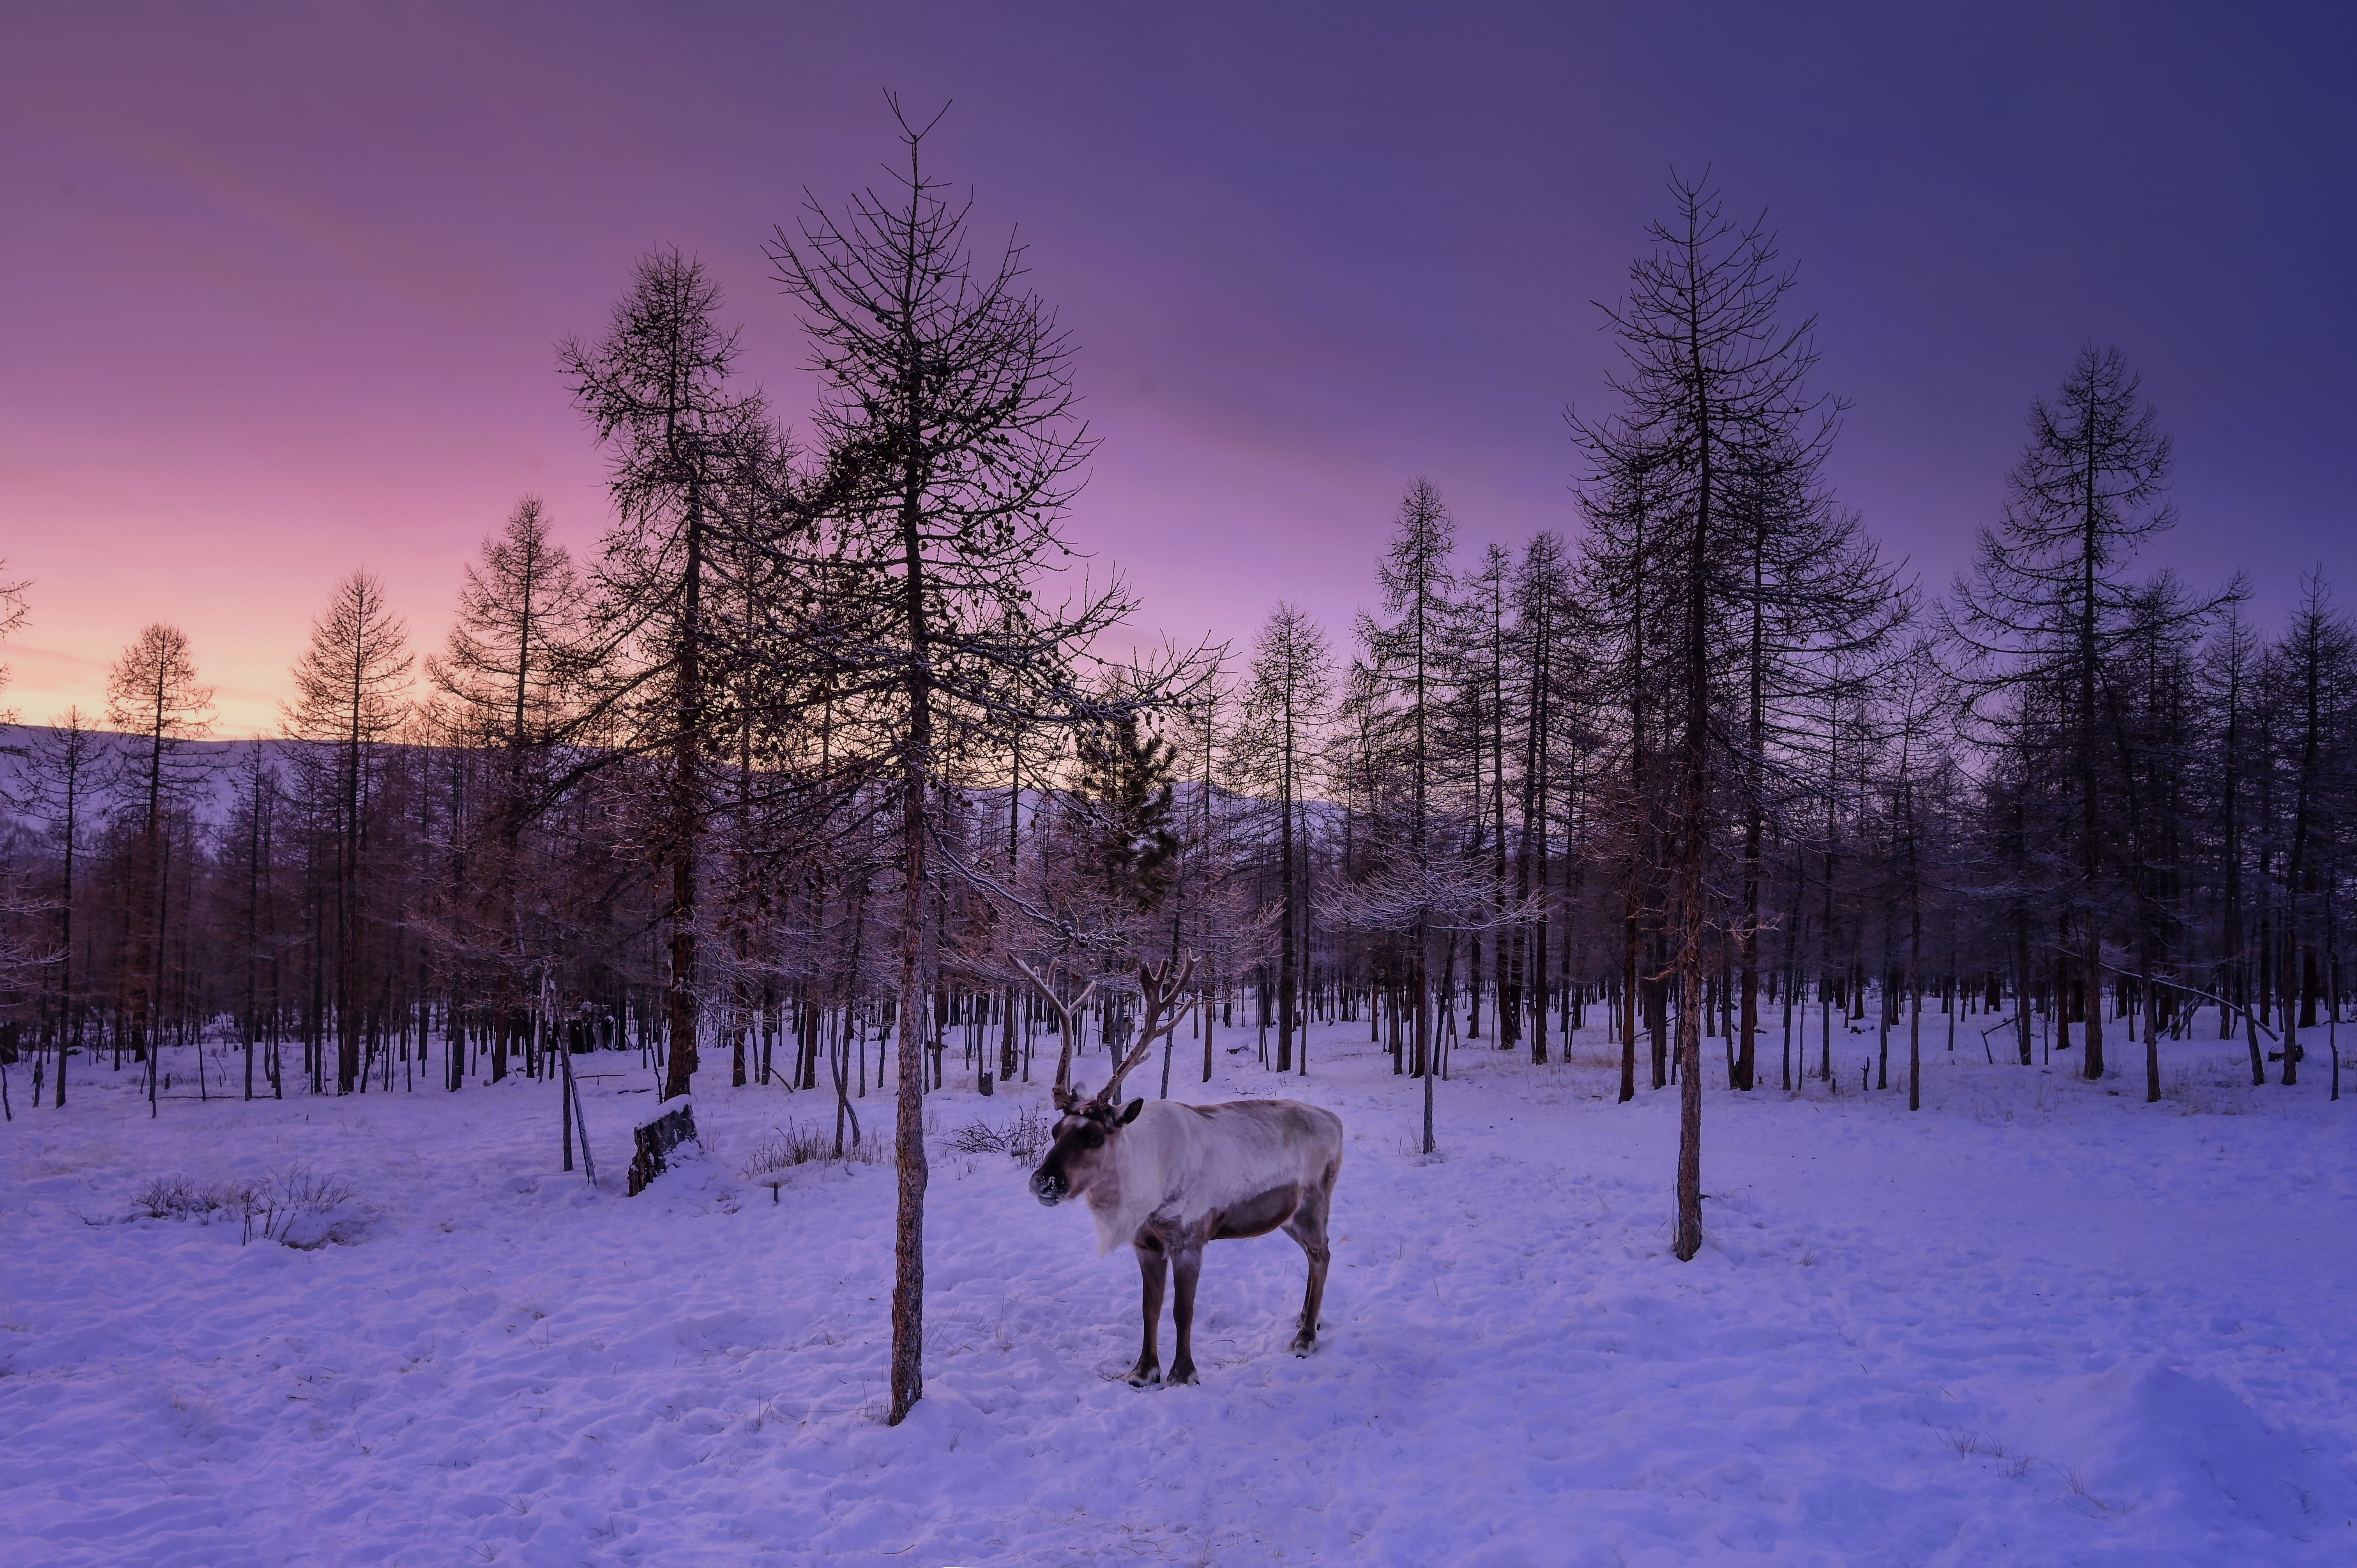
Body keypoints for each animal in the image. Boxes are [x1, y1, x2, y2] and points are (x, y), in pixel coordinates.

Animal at [1026, 955, 1344, 1387]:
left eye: (1093, 1137)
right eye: (1055, 1131)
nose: (1044, 1181)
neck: (1146, 1191)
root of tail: (1337, 1123)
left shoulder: (1190, 1240)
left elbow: (1182, 1311)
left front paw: (1182, 1372)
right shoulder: (1146, 1244)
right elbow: (1150, 1308)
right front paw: (1143, 1371)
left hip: (1314, 1201)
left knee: (1322, 1253)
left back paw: (1306, 1337)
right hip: (1288, 1216)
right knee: (1315, 1256)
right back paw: (1304, 1320)